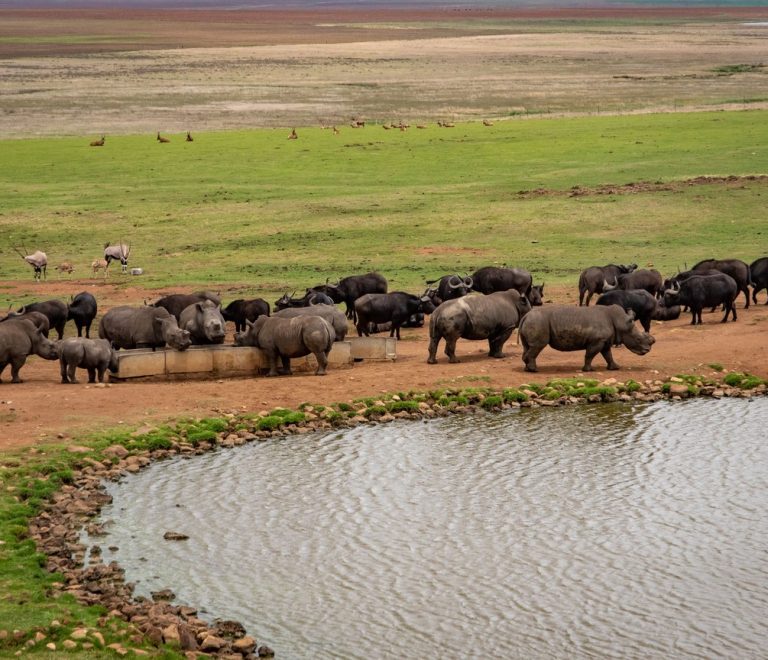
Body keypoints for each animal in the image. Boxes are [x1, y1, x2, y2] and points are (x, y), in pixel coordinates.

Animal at [518, 304, 655, 372]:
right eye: (638, 339)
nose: (648, 350)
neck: (621, 322)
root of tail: (526, 315)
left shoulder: (605, 340)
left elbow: (608, 355)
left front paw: (615, 368)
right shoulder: (597, 341)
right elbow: (590, 354)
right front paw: (589, 370)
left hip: (534, 321)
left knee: (528, 346)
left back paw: (527, 369)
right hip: (538, 321)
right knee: (538, 346)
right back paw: (534, 370)